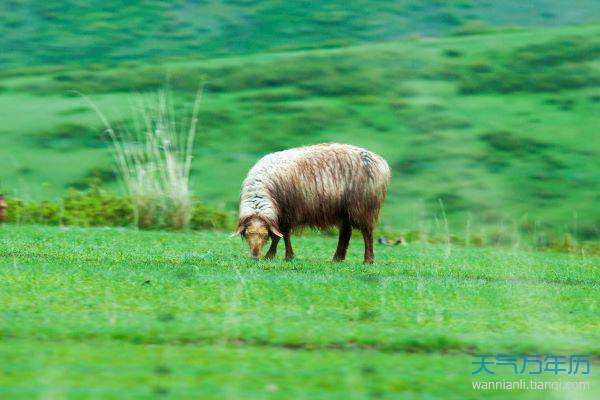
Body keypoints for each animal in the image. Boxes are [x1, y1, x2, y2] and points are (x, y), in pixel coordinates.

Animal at [232, 143, 392, 262]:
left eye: (265, 236)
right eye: (247, 234)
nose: (254, 257)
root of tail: (380, 162)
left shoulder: (287, 212)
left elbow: (282, 236)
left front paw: (277, 256)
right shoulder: (281, 215)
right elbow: (282, 235)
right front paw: (279, 256)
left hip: (364, 206)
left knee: (367, 233)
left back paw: (368, 260)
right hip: (344, 209)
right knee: (346, 232)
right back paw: (337, 259)